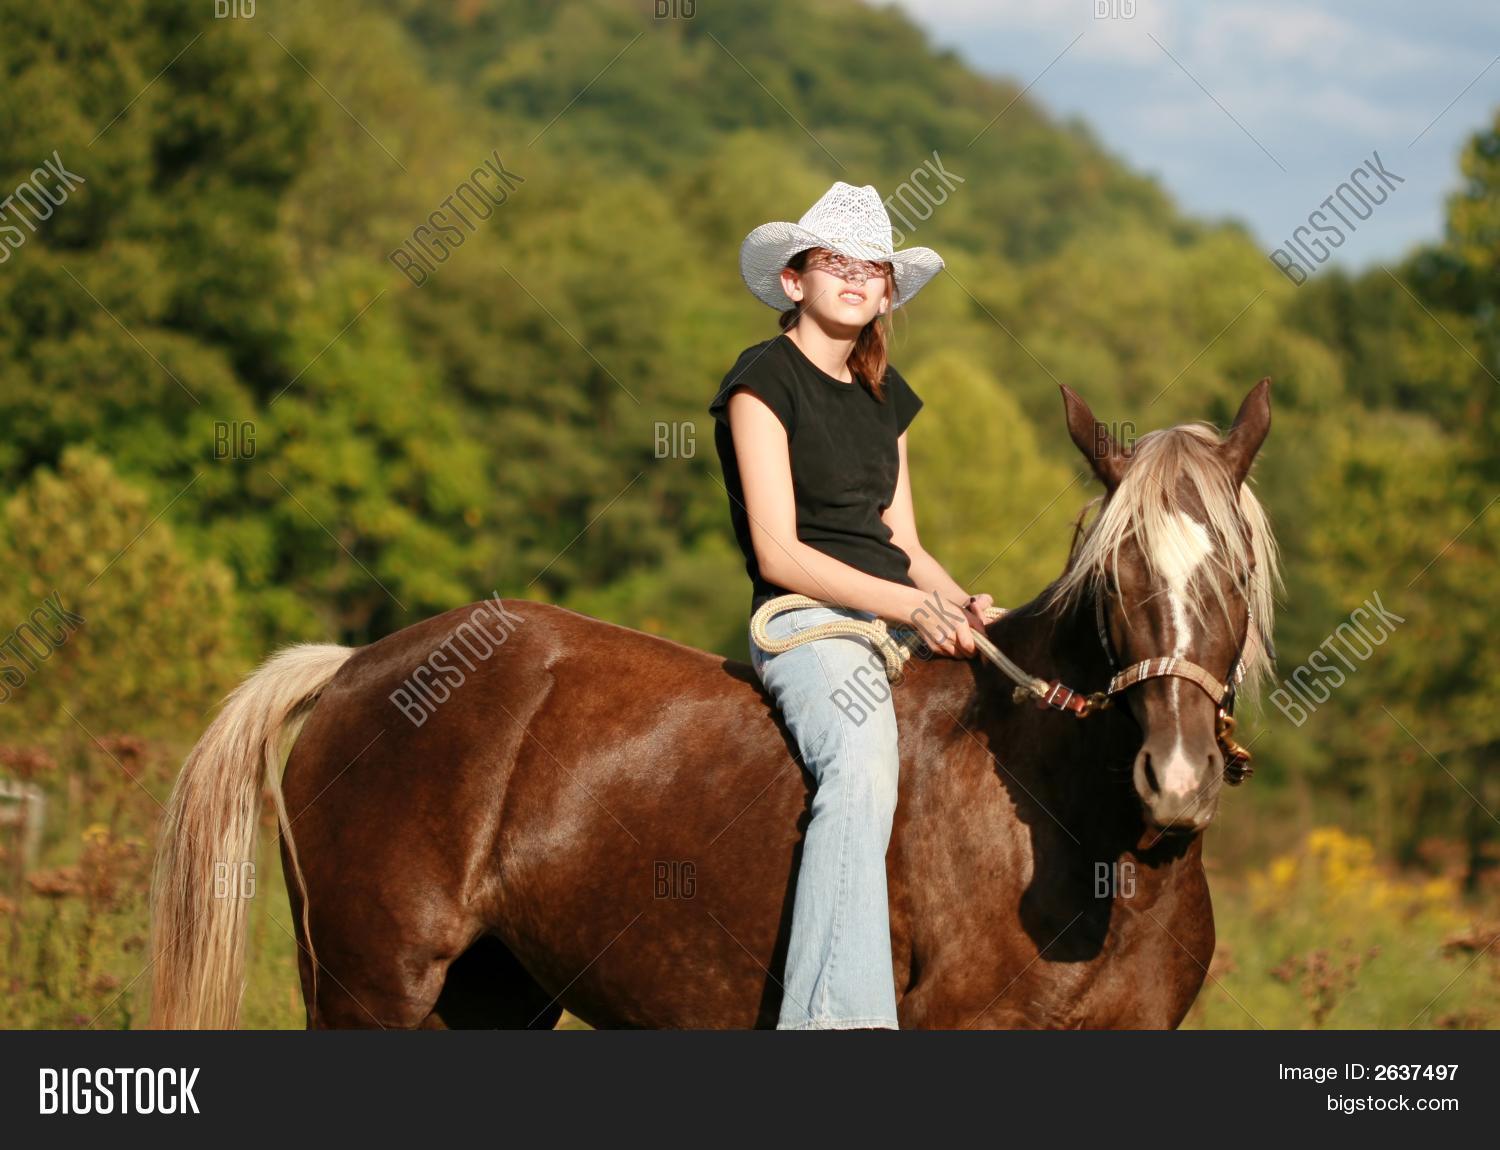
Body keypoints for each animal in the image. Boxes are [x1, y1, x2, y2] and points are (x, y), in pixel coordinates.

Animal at [149, 382, 1278, 1031]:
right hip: (366, 989)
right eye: (1115, 576)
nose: (1177, 779)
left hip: (489, 994)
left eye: (1236, 570)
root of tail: (354, 670)